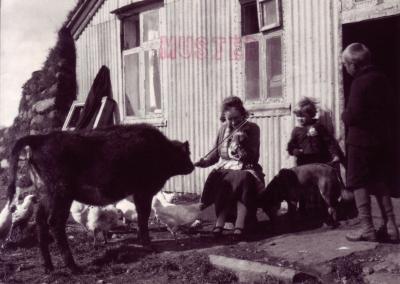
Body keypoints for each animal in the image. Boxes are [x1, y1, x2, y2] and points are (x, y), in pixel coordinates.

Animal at [6, 124, 194, 272]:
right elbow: (143, 215)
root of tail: (40, 138)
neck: (161, 150)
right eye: (186, 154)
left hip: (45, 194)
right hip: (61, 193)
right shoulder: (143, 191)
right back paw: (74, 267)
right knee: (55, 223)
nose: (192, 166)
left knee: (40, 221)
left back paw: (49, 267)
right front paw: (149, 246)